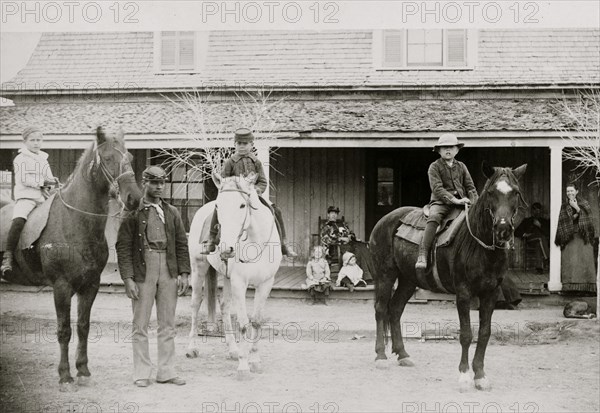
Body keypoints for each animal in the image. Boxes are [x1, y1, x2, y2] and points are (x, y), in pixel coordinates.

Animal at [0, 127, 141, 392]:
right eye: (108, 158)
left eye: (129, 157)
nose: (134, 198)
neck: (75, 220)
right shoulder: (61, 287)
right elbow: (64, 330)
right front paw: (65, 376)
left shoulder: (90, 285)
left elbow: (83, 327)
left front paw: (83, 371)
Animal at [186, 172, 282, 378]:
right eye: (218, 206)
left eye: (242, 205)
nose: (225, 248)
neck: (255, 241)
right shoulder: (240, 283)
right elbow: (244, 323)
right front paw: (244, 366)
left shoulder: (265, 284)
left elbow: (256, 322)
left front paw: (254, 360)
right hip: (198, 268)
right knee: (195, 304)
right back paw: (192, 348)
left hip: (228, 278)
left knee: (224, 306)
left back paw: (233, 350)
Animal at [368, 163, 528, 392]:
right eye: (491, 192)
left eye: (515, 192)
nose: (503, 229)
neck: (477, 244)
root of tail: (384, 221)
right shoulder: (463, 293)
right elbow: (466, 334)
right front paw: (464, 376)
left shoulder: (490, 294)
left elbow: (485, 333)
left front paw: (480, 376)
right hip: (385, 276)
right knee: (381, 310)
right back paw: (380, 356)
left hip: (408, 281)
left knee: (395, 309)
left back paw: (403, 355)